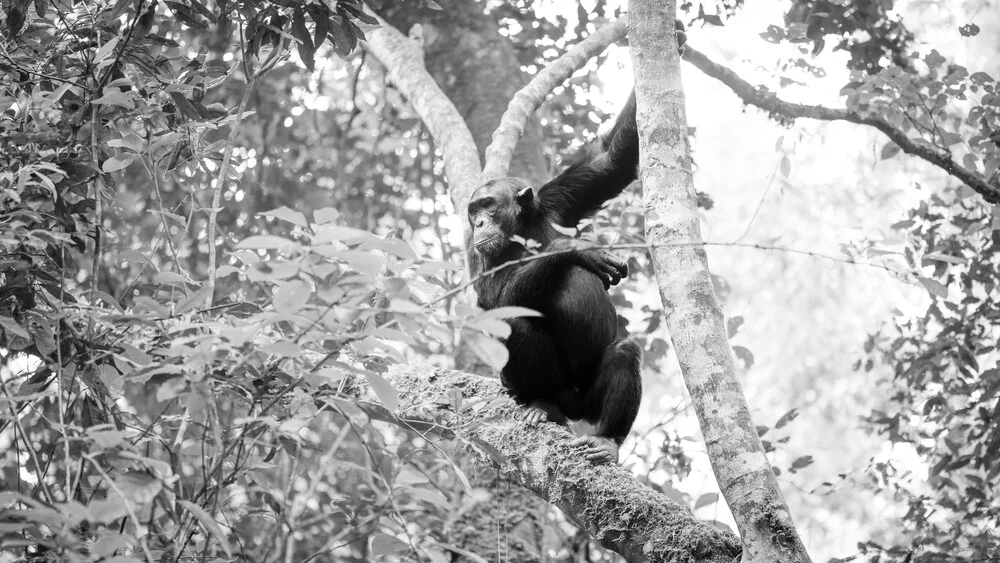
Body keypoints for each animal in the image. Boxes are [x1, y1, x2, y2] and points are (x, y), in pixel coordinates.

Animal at [466, 92, 644, 464]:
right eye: (473, 211)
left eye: (488, 204)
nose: (478, 223)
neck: (520, 229)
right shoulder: (477, 253)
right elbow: (495, 302)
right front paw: (576, 249)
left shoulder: (560, 200)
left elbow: (612, 160)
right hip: (548, 390)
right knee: (514, 324)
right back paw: (543, 405)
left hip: (589, 402)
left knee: (624, 351)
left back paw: (607, 440)